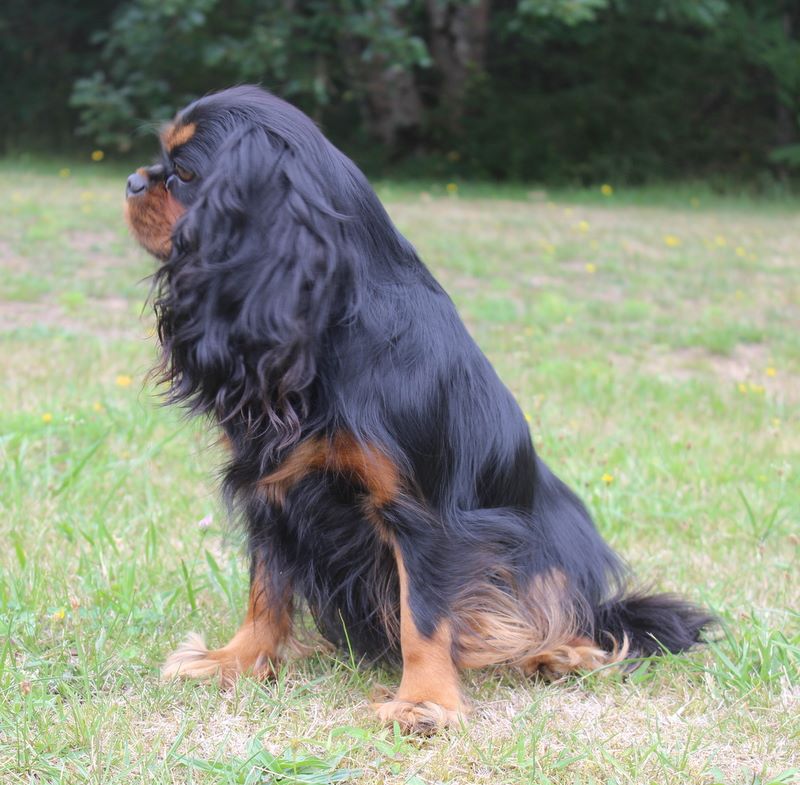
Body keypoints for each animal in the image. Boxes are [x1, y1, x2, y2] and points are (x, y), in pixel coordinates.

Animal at [125, 85, 713, 733]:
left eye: (183, 174)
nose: (132, 180)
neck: (333, 326)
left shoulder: (422, 515)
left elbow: (424, 614)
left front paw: (425, 700)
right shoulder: (273, 494)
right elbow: (267, 588)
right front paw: (237, 659)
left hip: (553, 544)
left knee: (586, 617)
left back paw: (559, 652)